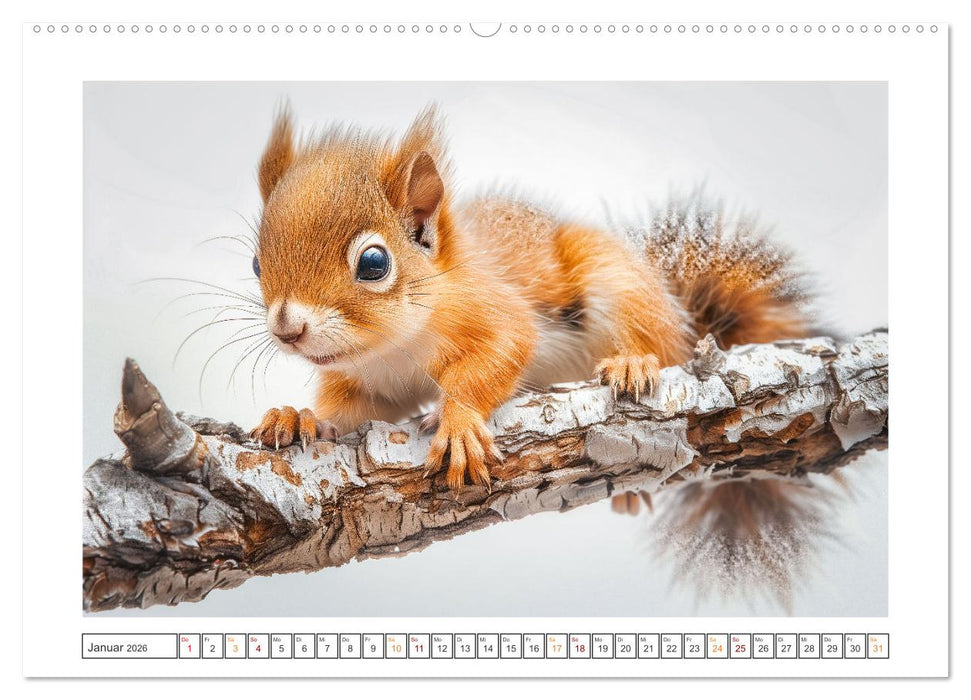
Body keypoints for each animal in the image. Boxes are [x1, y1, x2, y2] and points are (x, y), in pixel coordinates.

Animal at [247, 105, 810, 492]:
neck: (395, 348)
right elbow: (349, 411)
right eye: (256, 263)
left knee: (661, 343)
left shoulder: (495, 310)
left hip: (618, 281)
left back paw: (632, 362)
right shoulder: (372, 383)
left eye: (373, 264)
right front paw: (300, 417)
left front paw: (458, 423)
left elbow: (501, 353)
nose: (287, 329)